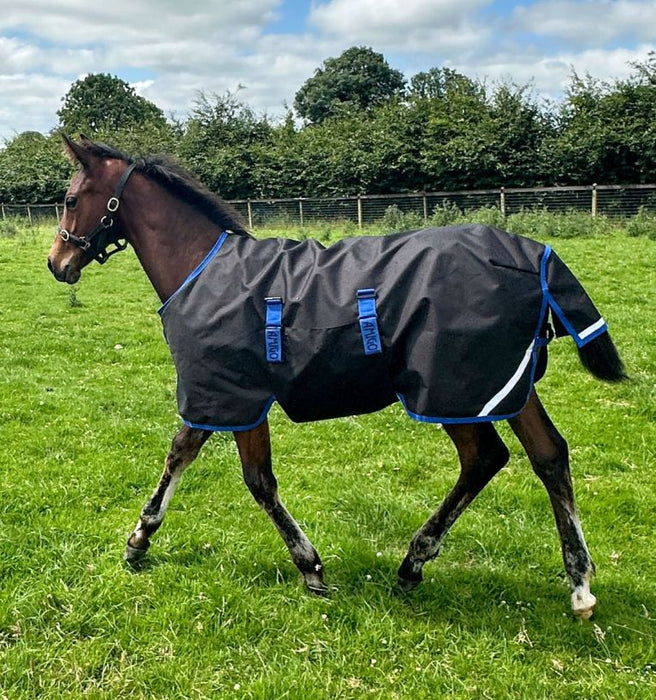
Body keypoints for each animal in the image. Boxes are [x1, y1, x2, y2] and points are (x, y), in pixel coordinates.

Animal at [47, 135, 625, 619]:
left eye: (72, 199)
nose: (57, 262)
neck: (202, 269)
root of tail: (534, 255)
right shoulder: (224, 397)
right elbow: (190, 455)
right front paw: (141, 539)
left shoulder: (232, 395)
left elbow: (248, 477)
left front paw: (309, 566)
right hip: (503, 386)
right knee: (548, 455)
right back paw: (578, 584)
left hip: (450, 391)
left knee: (485, 457)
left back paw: (416, 562)